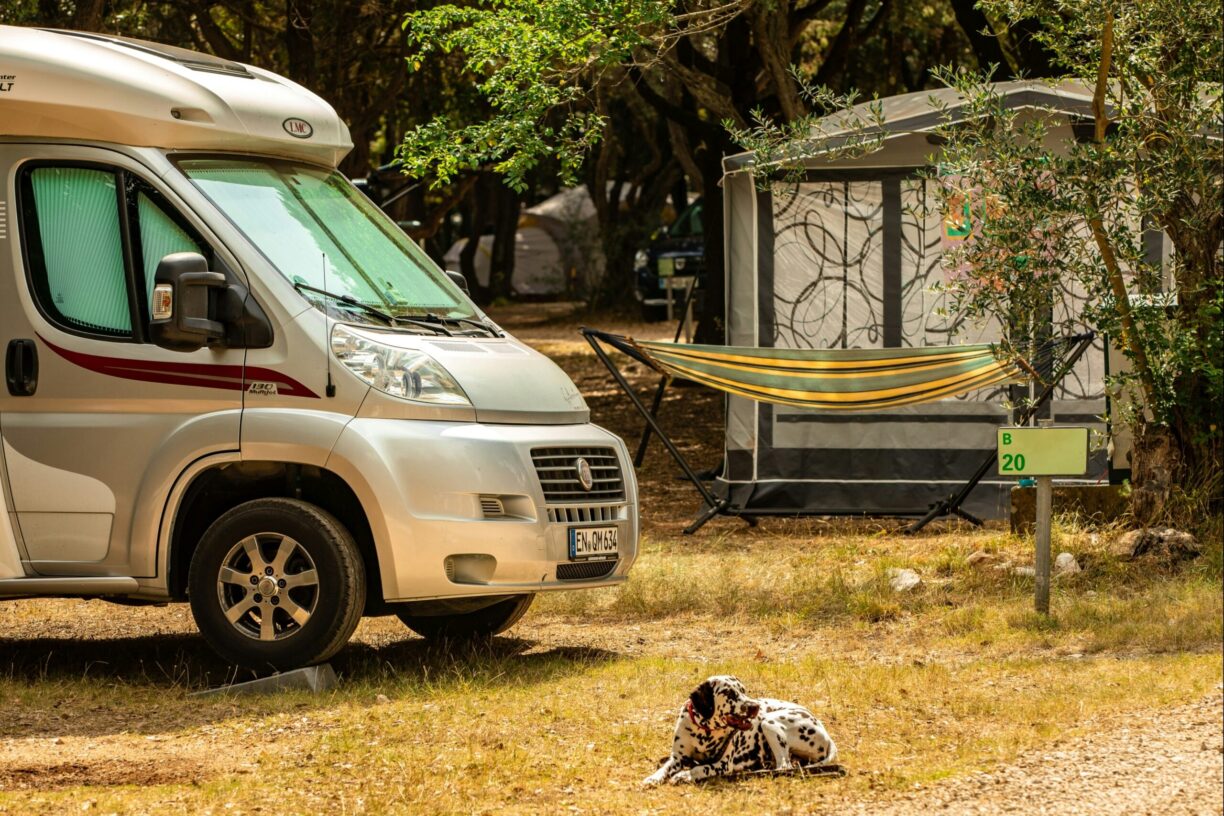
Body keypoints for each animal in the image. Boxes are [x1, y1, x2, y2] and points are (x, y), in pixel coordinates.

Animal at [643, 675, 837, 785]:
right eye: (729, 693)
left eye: (743, 690)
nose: (755, 707)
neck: (704, 732)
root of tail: (827, 736)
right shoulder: (677, 758)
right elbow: (664, 768)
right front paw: (653, 778)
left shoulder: (722, 764)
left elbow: (699, 769)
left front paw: (684, 775)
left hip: (769, 722)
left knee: (784, 767)